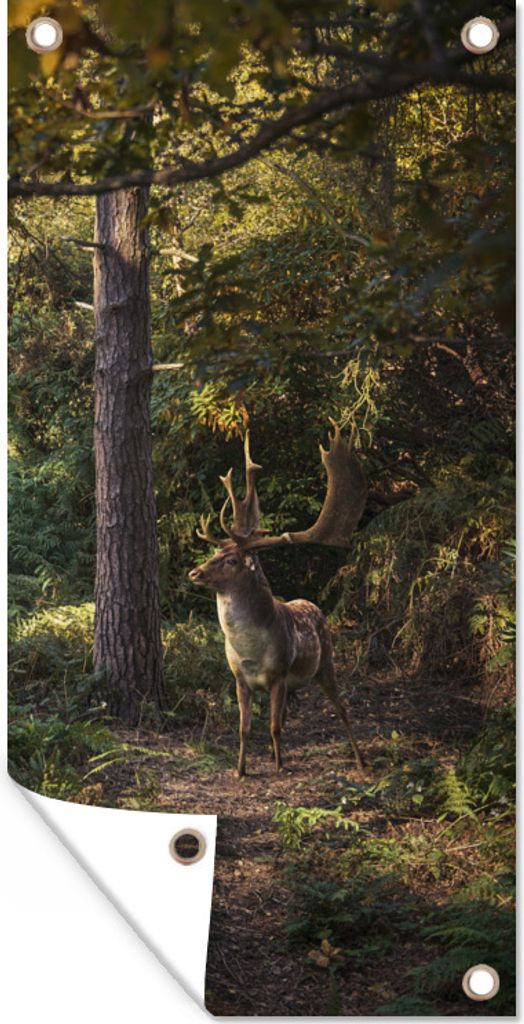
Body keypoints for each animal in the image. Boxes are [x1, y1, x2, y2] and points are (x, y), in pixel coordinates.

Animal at [188, 423, 367, 778]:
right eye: (215, 552)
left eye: (231, 560)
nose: (194, 572)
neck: (250, 651)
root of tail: (314, 606)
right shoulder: (239, 679)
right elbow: (245, 728)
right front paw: (241, 770)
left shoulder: (279, 676)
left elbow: (273, 727)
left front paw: (280, 768)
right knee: (289, 714)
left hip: (326, 662)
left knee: (341, 709)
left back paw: (359, 759)